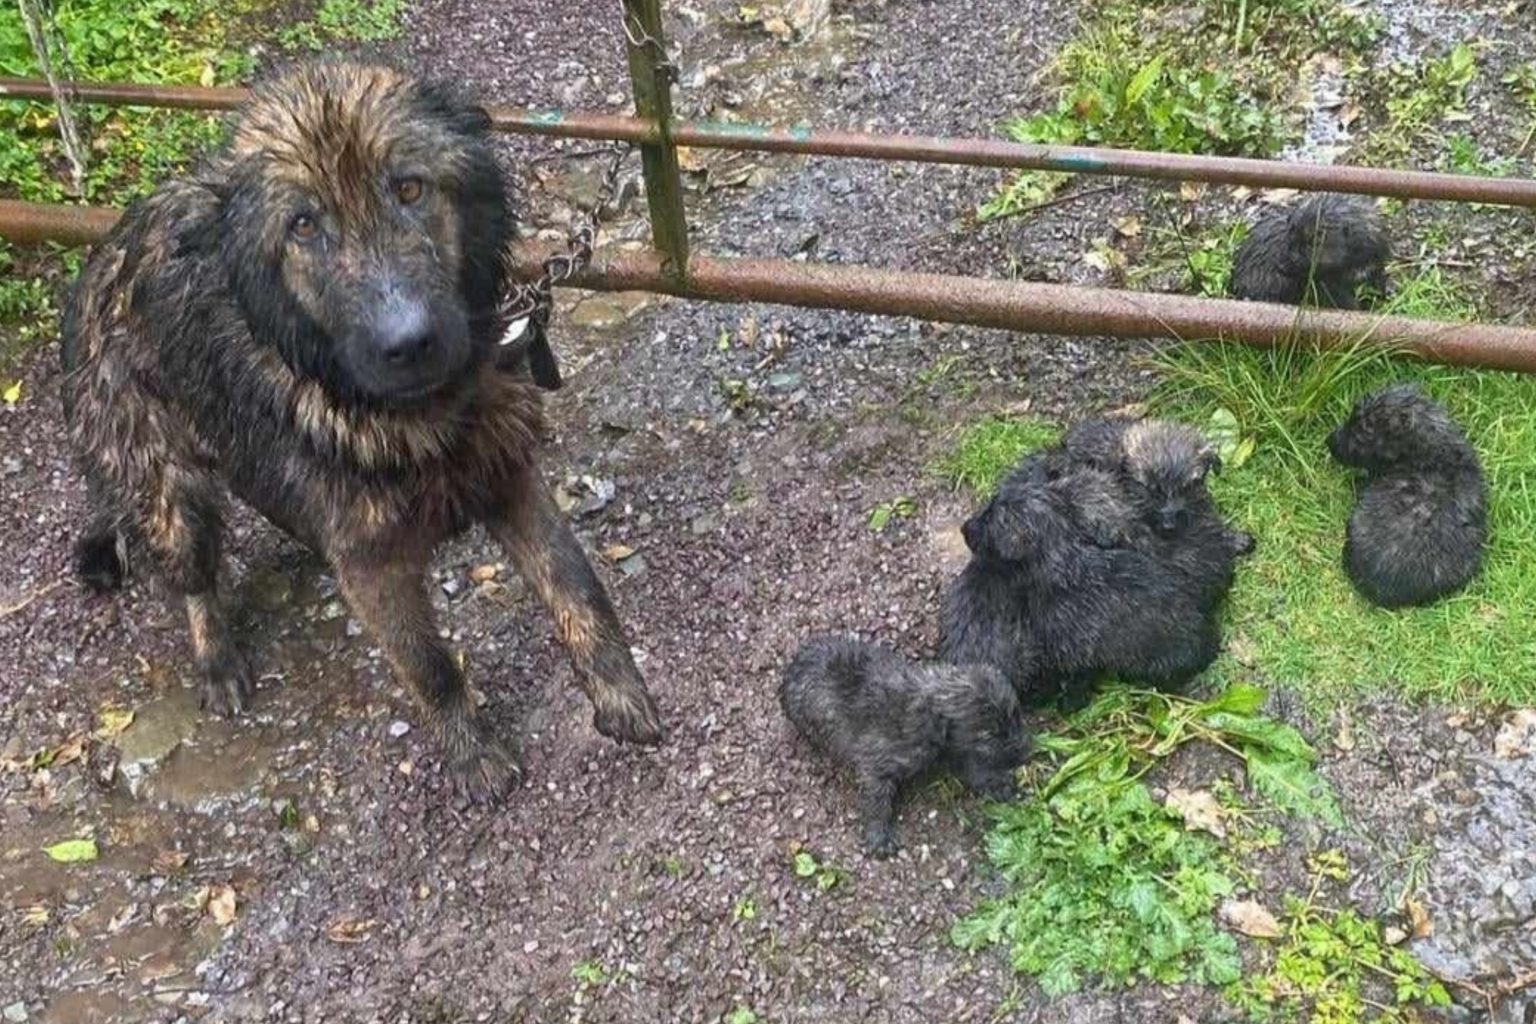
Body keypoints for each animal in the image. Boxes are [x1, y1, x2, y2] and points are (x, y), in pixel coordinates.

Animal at [61, 60, 660, 798]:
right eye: (302, 226)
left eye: (409, 187)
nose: (409, 342)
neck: (417, 416)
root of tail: (99, 258)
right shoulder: (373, 563)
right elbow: (431, 666)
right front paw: (475, 758)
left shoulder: (509, 477)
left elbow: (579, 589)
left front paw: (621, 696)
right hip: (172, 501)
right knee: (192, 578)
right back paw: (217, 662)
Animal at [780, 635, 1032, 859]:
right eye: (990, 736)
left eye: (1016, 718)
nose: (1026, 750)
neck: (928, 707)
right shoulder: (877, 764)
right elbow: (876, 799)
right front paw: (879, 835)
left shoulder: (955, 749)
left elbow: (974, 768)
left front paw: (997, 783)